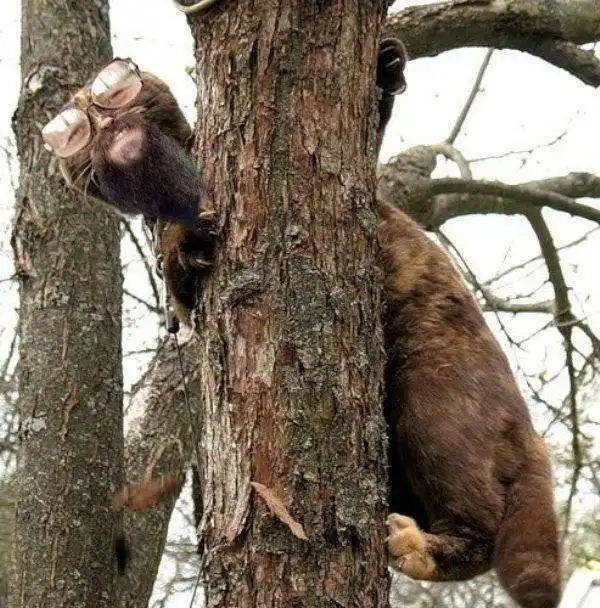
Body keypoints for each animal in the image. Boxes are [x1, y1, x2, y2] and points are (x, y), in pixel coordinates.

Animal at [43, 41, 562, 607]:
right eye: (74, 131)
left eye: (110, 91)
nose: (100, 119)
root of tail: (533, 441)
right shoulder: (184, 300)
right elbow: (180, 268)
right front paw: (186, 241)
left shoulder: (361, 194)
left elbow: (370, 143)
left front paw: (385, 70)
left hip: (433, 402)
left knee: (483, 525)